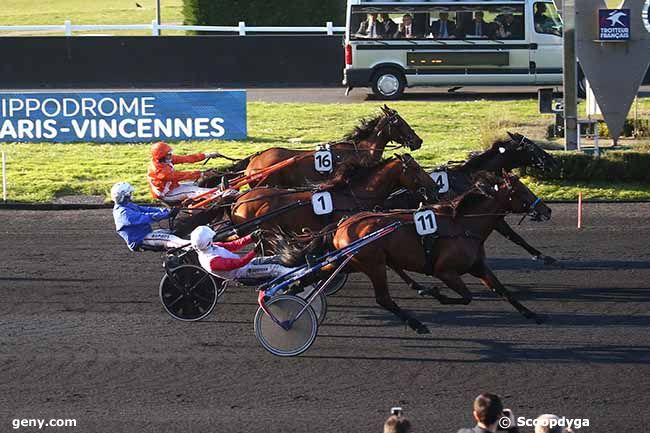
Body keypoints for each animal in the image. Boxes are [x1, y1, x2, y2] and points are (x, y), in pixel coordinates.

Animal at [270, 170, 548, 332]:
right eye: (521, 190)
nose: (546, 209)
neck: (463, 226)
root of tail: (344, 223)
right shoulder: (444, 271)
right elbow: (465, 296)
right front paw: (435, 293)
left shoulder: (478, 266)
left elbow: (502, 290)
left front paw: (532, 314)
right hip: (373, 263)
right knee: (383, 299)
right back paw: (416, 324)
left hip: (351, 261)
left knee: (316, 273)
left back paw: (289, 292)